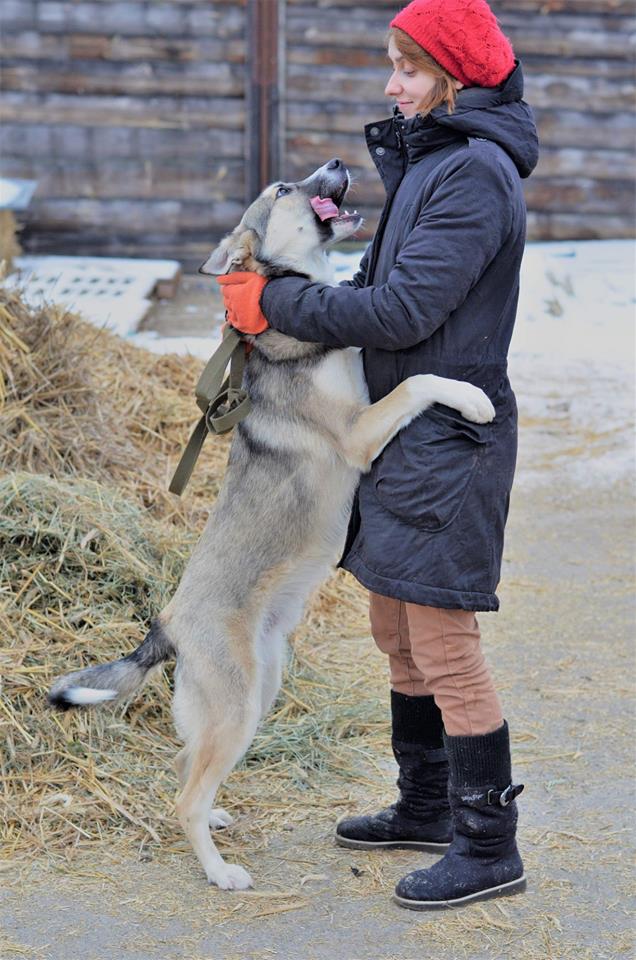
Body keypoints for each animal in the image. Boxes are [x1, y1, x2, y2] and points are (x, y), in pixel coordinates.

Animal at [51, 159, 496, 892]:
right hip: (238, 707)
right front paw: (475, 399)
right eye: (285, 190)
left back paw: (217, 819)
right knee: (184, 793)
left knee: (187, 766)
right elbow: (419, 382)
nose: (337, 165)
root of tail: (168, 624)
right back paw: (219, 870)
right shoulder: (359, 433)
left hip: (257, 691)